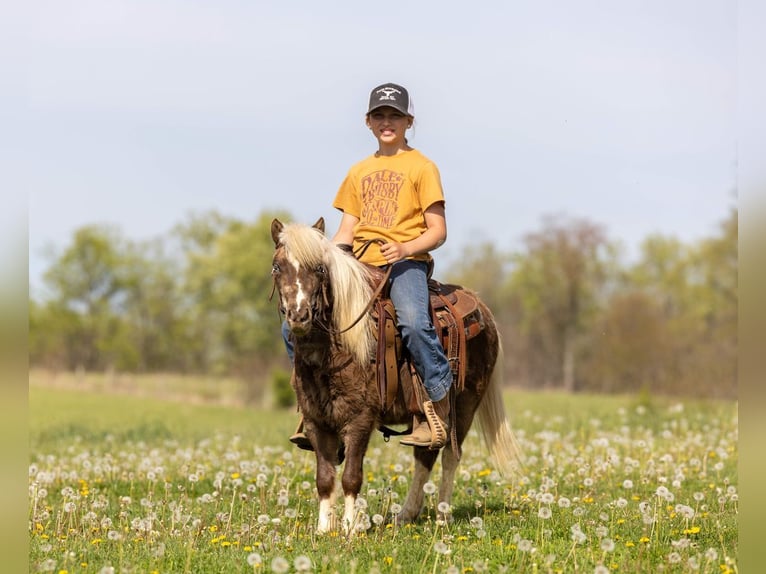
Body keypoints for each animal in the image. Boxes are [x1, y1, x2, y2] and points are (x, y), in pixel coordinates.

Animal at [270, 217, 520, 535]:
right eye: (277, 267)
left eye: (320, 269)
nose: (299, 316)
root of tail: (482, 310)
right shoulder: (317, 421)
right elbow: (324, 478)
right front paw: (324, 529)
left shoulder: (360, 419)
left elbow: (351, 476)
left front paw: (350, 529)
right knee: (425, 455)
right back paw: (406, 515)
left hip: (465, 405)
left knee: (451, 456)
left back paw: (442, 516)